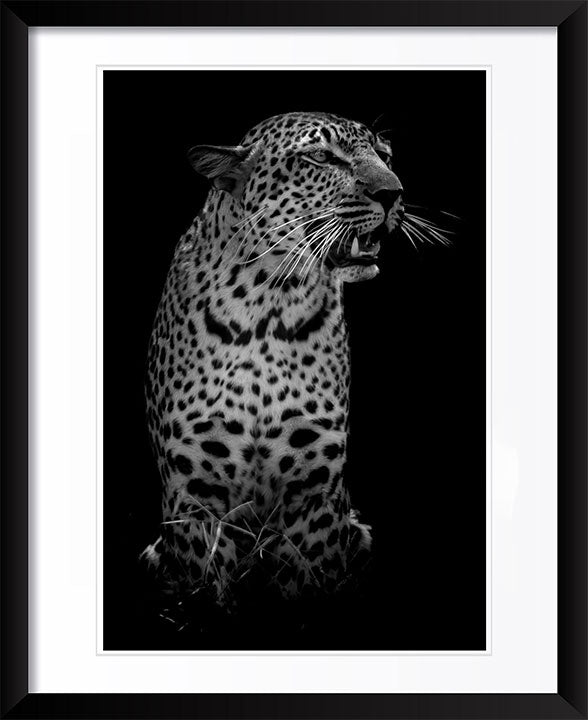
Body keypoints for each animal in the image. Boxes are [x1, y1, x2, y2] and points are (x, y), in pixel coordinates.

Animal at [143, 111, 404, 607]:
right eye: (321, 157)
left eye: (385, 155)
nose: (393, 192)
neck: (269, 303)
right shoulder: (194, 492)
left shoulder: (315, 492)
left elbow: (310, 574)